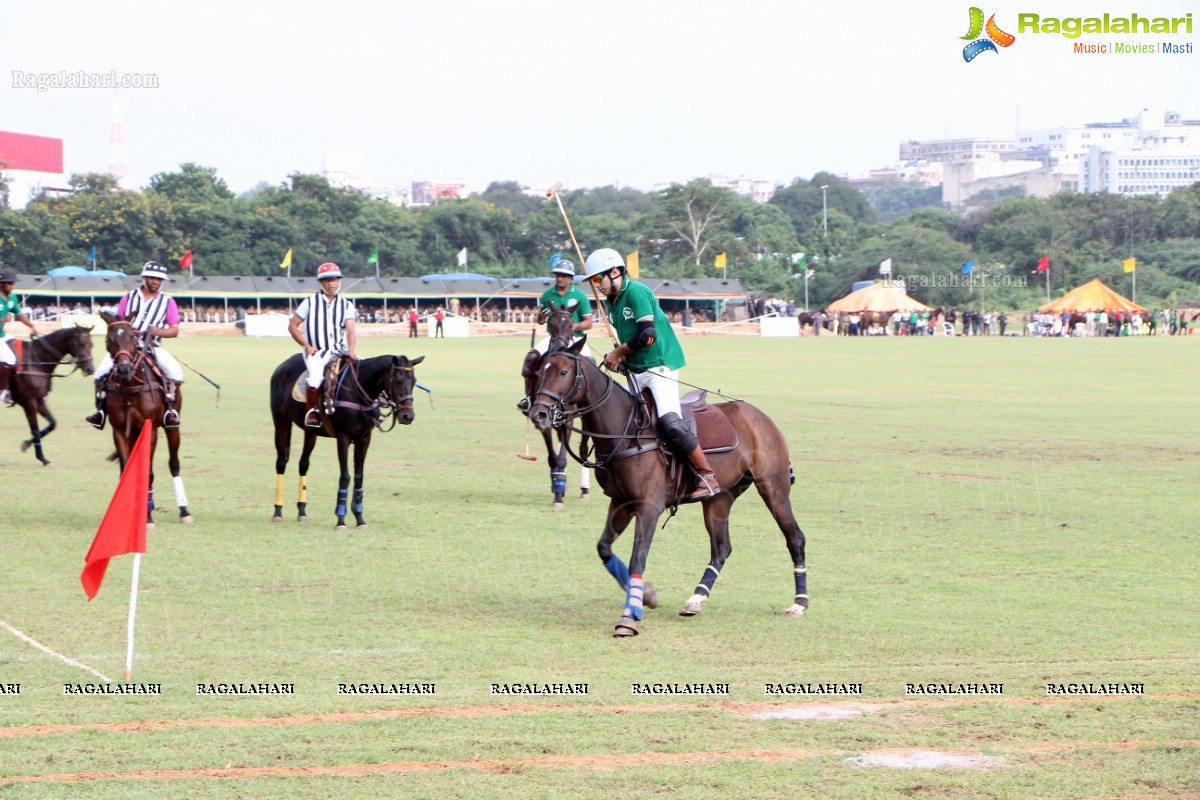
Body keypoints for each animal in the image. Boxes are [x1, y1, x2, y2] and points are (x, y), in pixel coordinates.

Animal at [8, 323, 94, 465]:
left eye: (92, 344)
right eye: (80, 344)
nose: (90, 369)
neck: (37, 360)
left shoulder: (39, 400)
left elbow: (52, 423)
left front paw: (26, 444)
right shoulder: (28, 401)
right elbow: (35, 431)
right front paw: (42, 458)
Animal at [102, 311, 189, 525]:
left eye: (133, 337)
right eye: (108, 339)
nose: (124, 370)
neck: (130, 387)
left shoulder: (150, 430)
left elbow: (147, 471)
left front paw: (147, 517)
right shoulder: (119, 430)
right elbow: (126, 468)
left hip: (172, 427)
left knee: (174, 463)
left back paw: (183, 510)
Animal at [271, 352, 422, 527]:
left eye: (414, 381)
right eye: (398, 380)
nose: (407, 416)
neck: (359, 393)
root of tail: (282, 365)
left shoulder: (364, 439)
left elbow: (358, 477)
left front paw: (359, 517)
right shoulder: (343, 438)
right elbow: (345, 477)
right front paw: (341, 519)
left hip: (310, 431)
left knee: (303, 464)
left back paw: (302, 511)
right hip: (281, 421)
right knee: (281, 462)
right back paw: (277, 511)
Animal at [530, 343, 811, 638]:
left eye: (563, 372)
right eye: (539, 371)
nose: (538, 414)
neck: (624, 431)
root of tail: (763, 417)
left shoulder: (649, 507)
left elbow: (637, 559)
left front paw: (629, 617)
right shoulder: (621, 503)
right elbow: (604, 548)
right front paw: (646, 595)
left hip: (773, 487)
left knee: (795, 537)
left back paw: (799, 603)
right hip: (719, 498)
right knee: (721, 547)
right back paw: (695, 600)